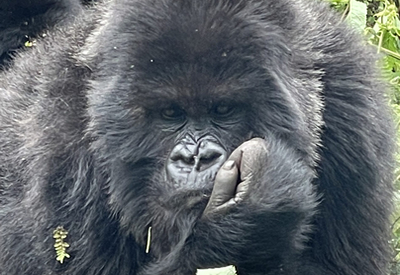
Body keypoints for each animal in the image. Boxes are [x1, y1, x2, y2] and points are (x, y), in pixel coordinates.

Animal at [0, 0, 396, 275]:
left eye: (223, 109)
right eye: (170, 114)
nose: (195, 159)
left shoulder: (355, 117)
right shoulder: (60, 143)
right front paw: (252, 216)